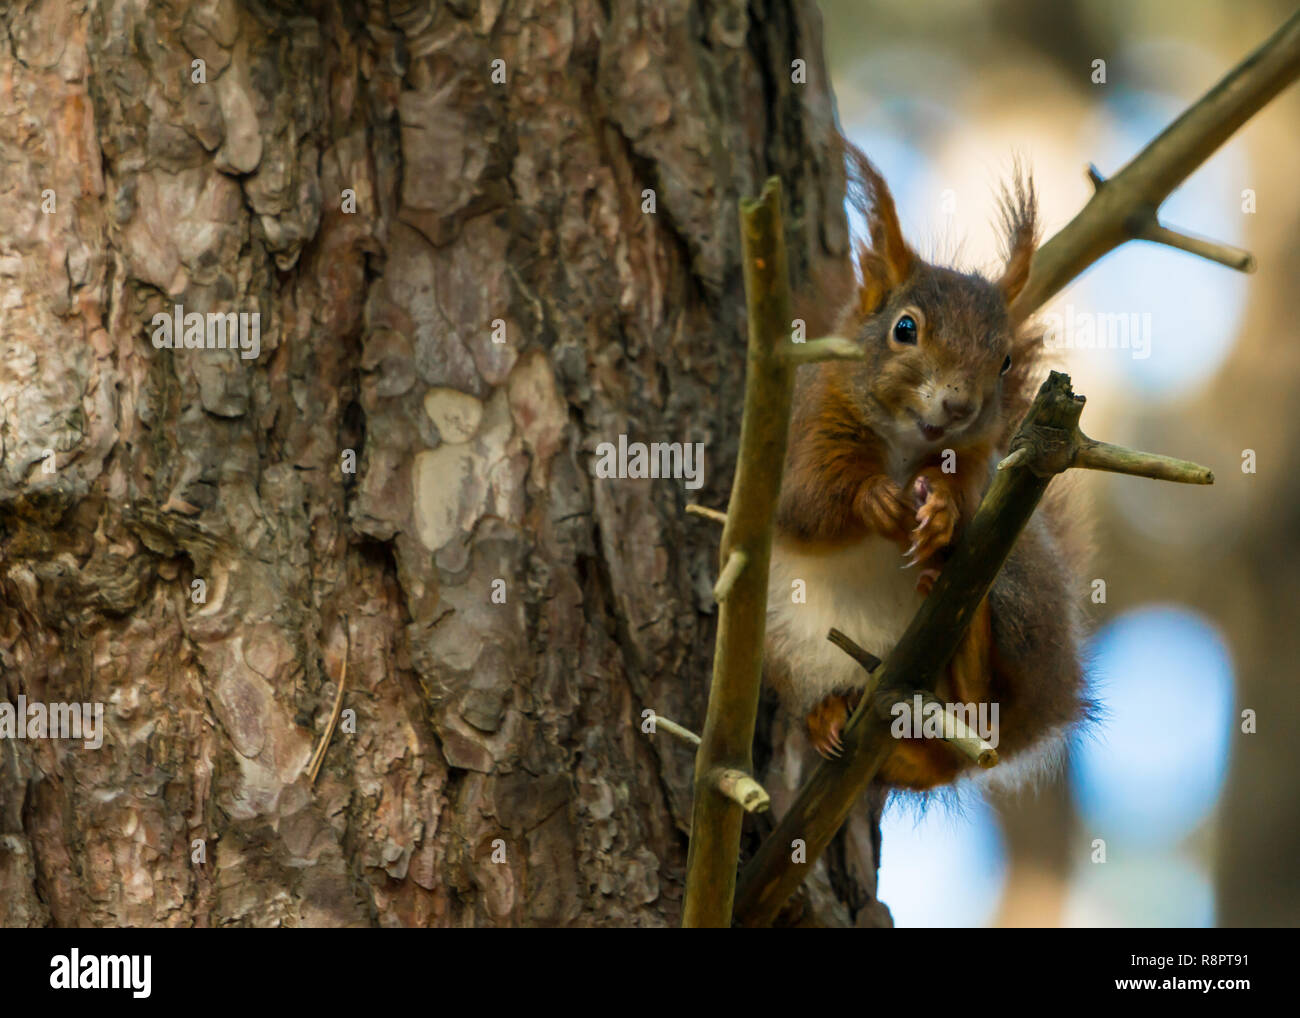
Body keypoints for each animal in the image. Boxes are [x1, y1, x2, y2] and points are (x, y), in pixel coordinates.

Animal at [764, 141, 1092, 795]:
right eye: (905, 329)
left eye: (1005, 360)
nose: (960, 405)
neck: (902, 444)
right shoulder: (805, 427)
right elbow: (804, 500)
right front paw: (873, 499)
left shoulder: (979, 463)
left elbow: (965, 501)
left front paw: (939, 514)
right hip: (790, 646)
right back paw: (829, 718)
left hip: (1018, 594)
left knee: (979, 718)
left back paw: (966, 655)